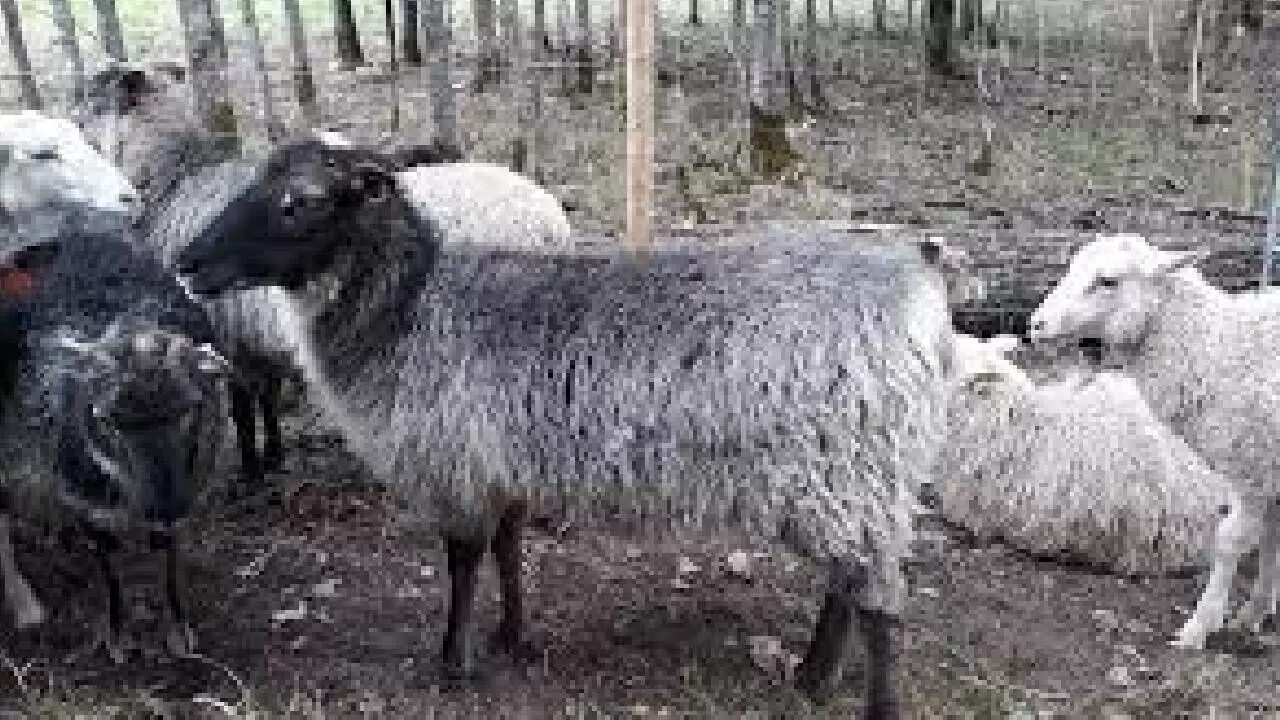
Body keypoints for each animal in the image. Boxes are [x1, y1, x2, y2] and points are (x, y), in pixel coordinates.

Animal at [0, 226, 231, 659]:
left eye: (191, 408)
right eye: (107, 420)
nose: (165, 505)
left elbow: (167, 560)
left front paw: (178, 632)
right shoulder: (84, 504)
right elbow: (109, 571)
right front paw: (118, 637)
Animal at [172, 135, 965, 717]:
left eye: (297, 204)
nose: (187, 262)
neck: (411, 304)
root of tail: (922, 287)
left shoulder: (455, 461)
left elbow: (463, 562)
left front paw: (453, 663)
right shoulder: (501, 463)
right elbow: (508, 548)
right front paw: (510, 636)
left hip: (847, 469)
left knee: (879, 600)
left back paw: (869, 701)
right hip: (853, 477)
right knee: (849, 580)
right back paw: (812, 676)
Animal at [1027, 233, 1280, 649]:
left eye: (1108, 281)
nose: (1036, 324)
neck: (1222, 351)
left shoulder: (1253, 465)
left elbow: (1230, 541)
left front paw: (1199, 627)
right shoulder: (1269, 470)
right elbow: (1272, 538)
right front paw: (1254, 613)